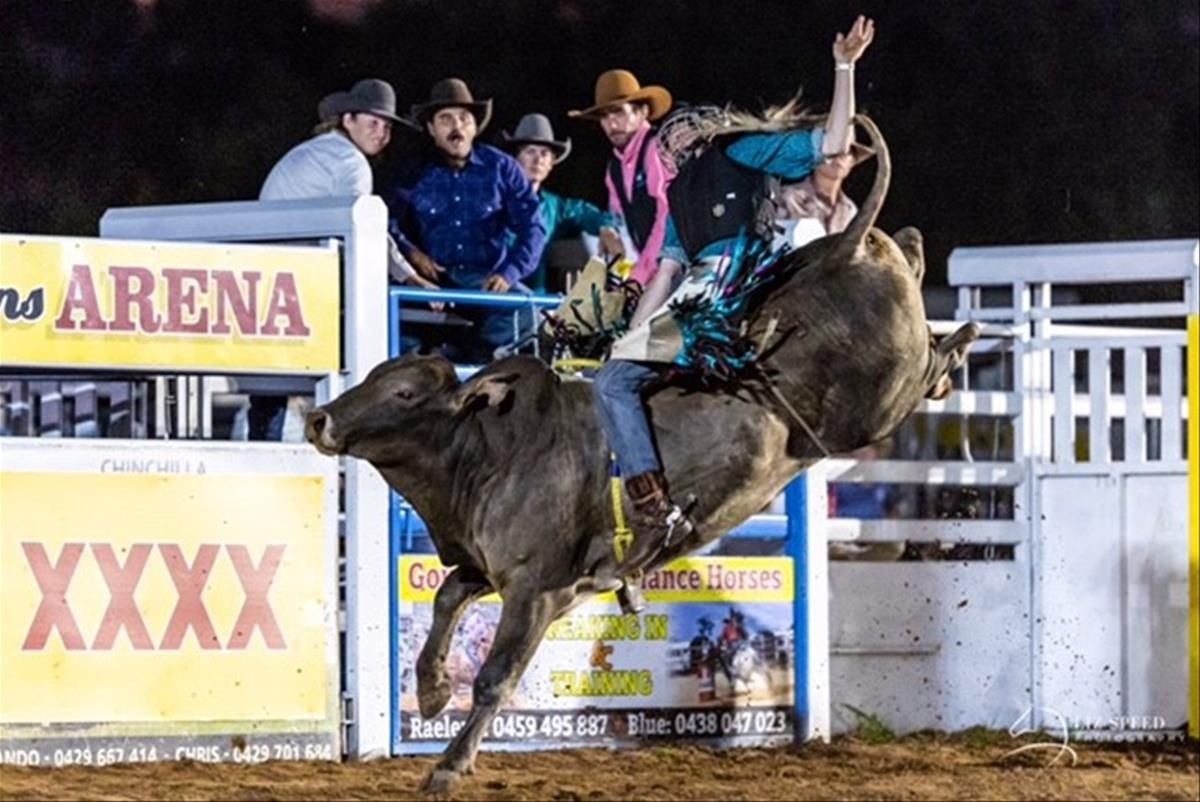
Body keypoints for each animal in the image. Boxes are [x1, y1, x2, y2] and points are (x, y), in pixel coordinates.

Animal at [307, 115, 974, 792]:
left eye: (404, 392)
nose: (318, 419)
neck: (493, 450)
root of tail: (844, 247)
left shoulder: (536, 588)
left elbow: (496, 676)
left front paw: (447, 766)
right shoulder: (486, 566)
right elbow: (445, 598)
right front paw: (434, 691)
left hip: (875, 403)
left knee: (923, 365)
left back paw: (961, 339)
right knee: (909, 260)